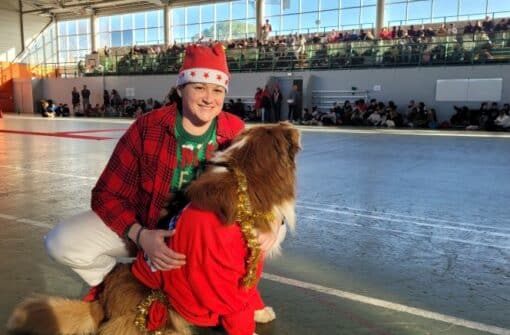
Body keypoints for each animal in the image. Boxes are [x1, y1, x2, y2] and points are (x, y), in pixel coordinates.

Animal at [5, 122, 300, 335]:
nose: (294, 126)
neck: (245, 180)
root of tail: (101, 303)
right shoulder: (221, 272)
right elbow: (235, 307)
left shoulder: (250, 261)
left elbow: (249, 295)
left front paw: (259, 312)